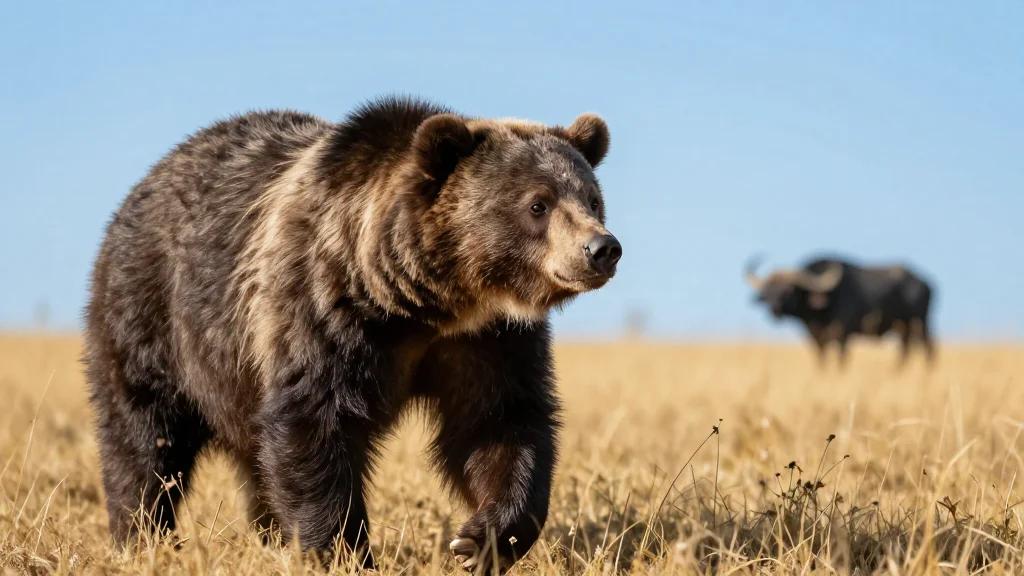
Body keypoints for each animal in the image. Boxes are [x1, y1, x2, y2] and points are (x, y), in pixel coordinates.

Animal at [84, 97, 621, 572]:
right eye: (537, 204)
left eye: (593, 199)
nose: (602, 249)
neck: (426, 303)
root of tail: (144, 183)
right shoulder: (324, 316)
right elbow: (313, 427)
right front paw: (343, 551)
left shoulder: (488, 341)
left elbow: (500, 423)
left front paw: (480, 541)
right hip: (153, 318)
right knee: (144, 439)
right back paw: (143, 537)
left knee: (253, 460)